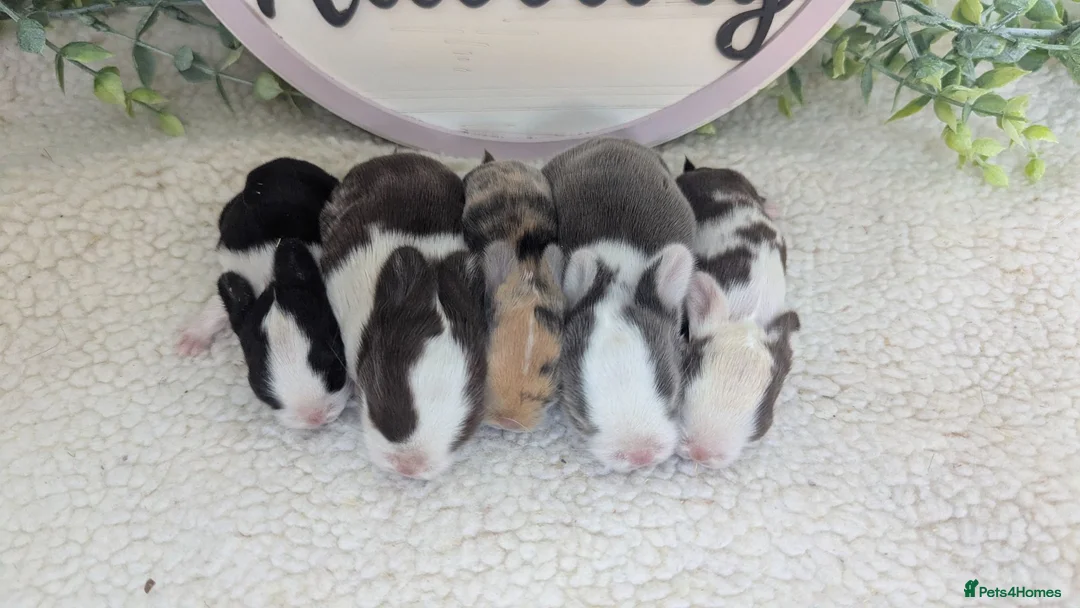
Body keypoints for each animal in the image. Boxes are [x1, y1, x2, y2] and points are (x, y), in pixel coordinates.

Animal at [177, 157, 350, 430]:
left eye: (336, 366)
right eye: (260, 385)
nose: (314, 417)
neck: (273, 280)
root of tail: (272, 165)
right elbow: (218, 307)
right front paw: (191, 340)